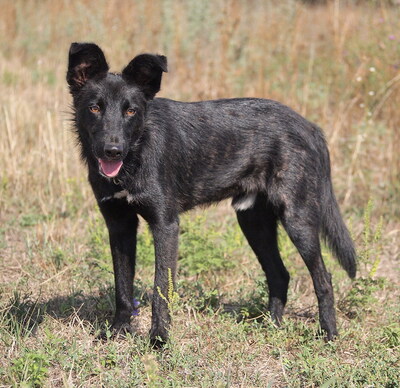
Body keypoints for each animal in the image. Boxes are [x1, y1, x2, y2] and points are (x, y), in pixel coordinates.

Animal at [66, 43, 356, 346]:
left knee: (324, 278)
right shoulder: (119, 225)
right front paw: (118, 331)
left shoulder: (165, 225)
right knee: (279, 275)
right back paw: (271, 328)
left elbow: (161, 289)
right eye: (94, 107)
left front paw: (159, 340)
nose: (113, 151)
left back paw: (329, 335)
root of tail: (310, 127)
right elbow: (122, 284)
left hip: (297, 219)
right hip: (253, 222)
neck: (136, 154)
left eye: (131, 111)